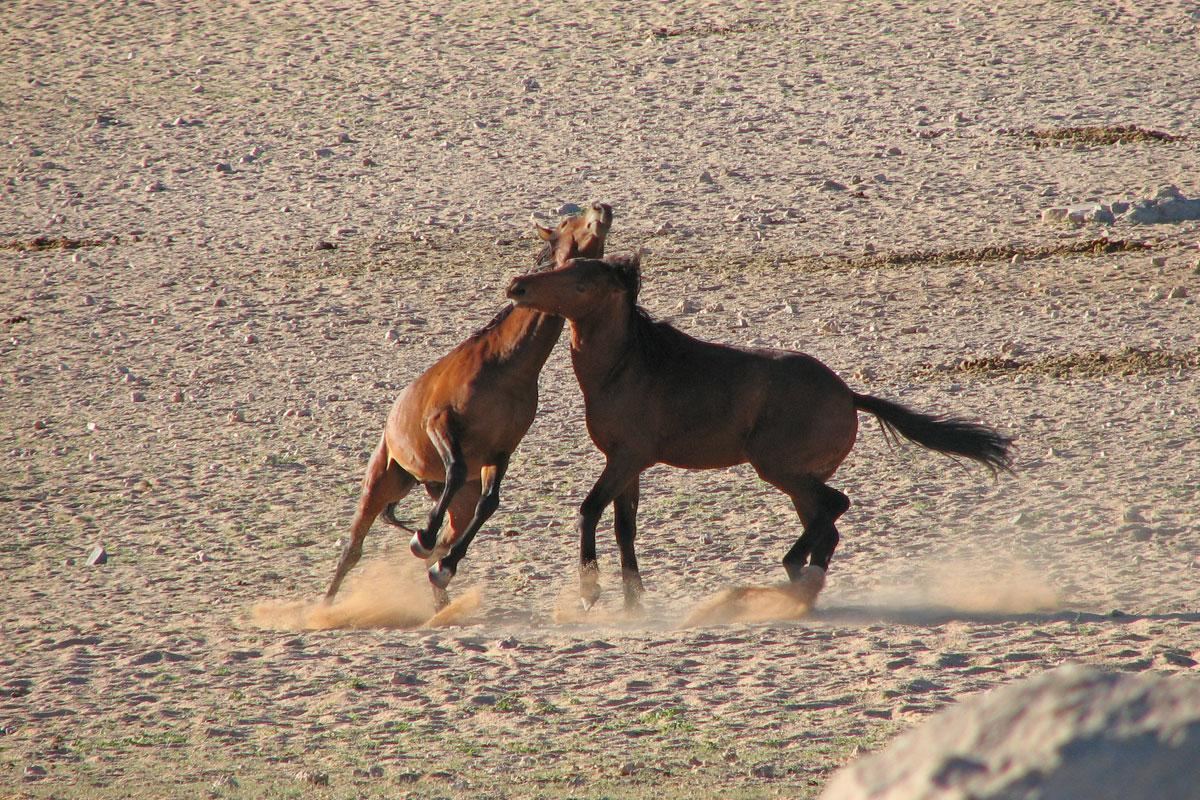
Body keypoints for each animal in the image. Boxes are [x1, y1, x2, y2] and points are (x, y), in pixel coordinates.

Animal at [324, 203, 613, 609]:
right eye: (567, 221)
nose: (603, 209)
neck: (505, 363)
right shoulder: (440, 424)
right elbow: (458, 469)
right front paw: (421, 538)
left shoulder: (500, 452)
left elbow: (488, 503)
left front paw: (442, 565)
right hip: (383, 480)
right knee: (353, 548)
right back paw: (324, 607)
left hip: (441, 497)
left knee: (448, 530)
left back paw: (441, 600)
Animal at [506, 254, 1012, 610]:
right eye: (561, 264)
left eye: (581, 281)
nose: (517, 286)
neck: (627, 366)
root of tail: (848, 394)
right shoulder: (625, 464)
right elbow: (624, 528)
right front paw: (634, 604)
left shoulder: (627, 458)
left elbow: (588, 511)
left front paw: (589, 591)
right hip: (799, 479)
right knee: (826, 526)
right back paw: (802, 587)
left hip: (780, 469)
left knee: (835, 507)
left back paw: (796, 576)